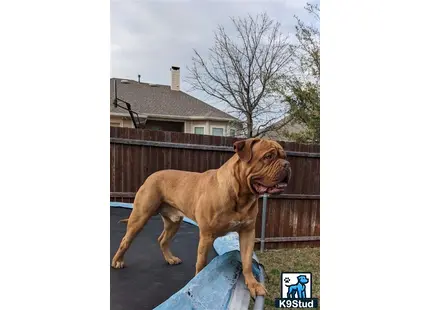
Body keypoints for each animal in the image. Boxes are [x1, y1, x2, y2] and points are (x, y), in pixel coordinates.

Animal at [111, 138, 292, 298]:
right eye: (268, 156)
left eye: (284, 156)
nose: (287, 165)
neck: (241, 195)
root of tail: (151, 176)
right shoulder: (207, 236)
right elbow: (201, 263)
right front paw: (198, 282)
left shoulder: (247, 232)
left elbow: (247, 262)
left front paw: (253, 284)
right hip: (140, 217)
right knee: (126, 240)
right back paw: (117, 261)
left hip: (173, 222)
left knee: (163, 239)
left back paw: (170, 258)